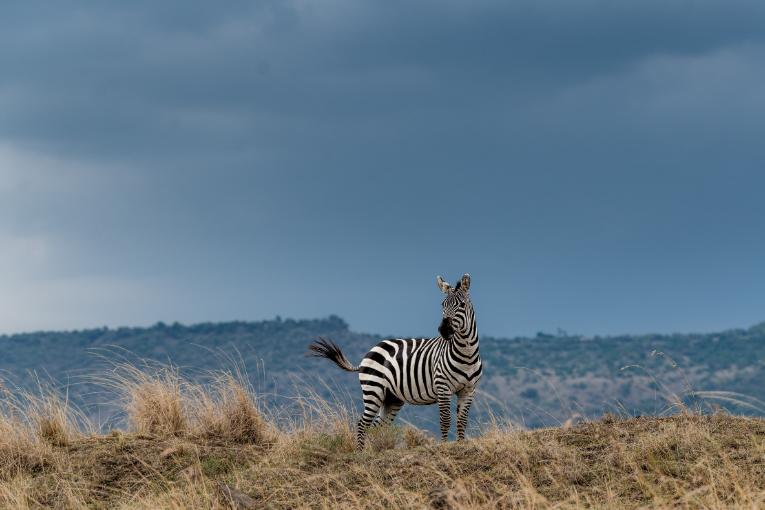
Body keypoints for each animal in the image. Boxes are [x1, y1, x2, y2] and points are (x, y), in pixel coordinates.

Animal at [308, 274, 480, 450]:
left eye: (462, 304)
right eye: (443, 305)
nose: (444, 330)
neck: (466, 354)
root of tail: (371, 350)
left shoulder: (469, 390)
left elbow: (462, 421)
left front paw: (461, 445)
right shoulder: (443, 387)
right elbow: (445, 420)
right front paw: (444, 447)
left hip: (392, 398)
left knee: (378, 426)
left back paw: (376, 450)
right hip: (373, 390)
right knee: (363, 423)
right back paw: (360, 452)